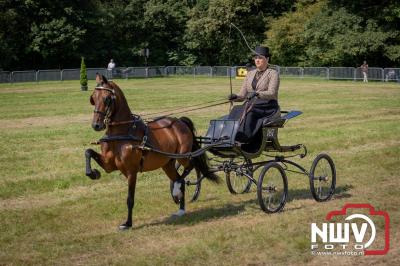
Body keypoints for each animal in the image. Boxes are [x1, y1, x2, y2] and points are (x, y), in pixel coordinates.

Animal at [83, 74, 217, 230]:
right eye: (93, 98)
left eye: (107, 98)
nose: (96, 125)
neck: (123, 132)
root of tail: (180, 122)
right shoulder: (109, 165)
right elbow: (88, 152)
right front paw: (93, 173)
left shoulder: (131, 171)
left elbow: (130, 198)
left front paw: (127, 223)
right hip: (167, 163)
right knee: (180, 177)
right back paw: (181, 210)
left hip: (183, 156)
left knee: (189, 169)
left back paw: (176, 191)